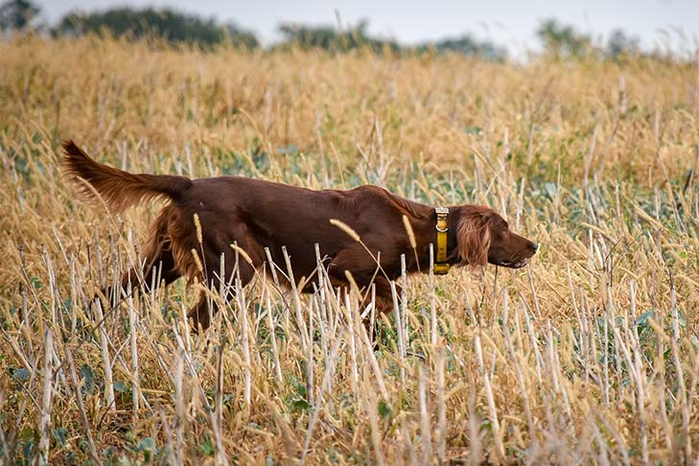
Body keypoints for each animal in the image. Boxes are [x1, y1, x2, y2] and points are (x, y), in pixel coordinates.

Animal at [61, 140, 540, 330]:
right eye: (505, 228)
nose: (535, 245)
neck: (416, 224)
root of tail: (188, 184)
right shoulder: (342, 269)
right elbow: (390, 295)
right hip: (232, 268)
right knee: (195, 318)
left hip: (164, 263)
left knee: (108, 292)